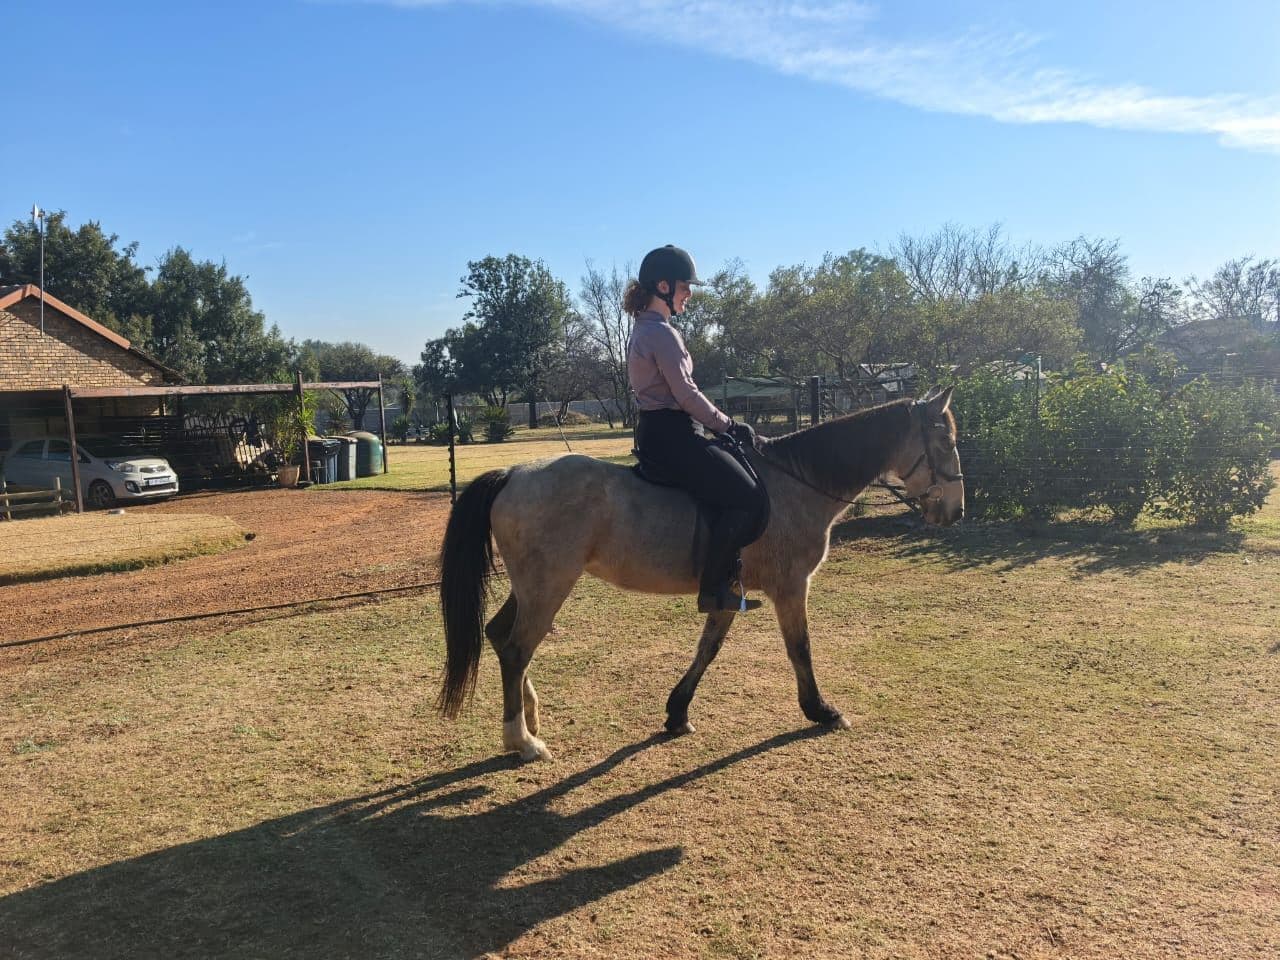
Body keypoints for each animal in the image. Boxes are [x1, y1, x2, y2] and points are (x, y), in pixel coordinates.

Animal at [437, 387, 964, 761]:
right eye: (946, 441)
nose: (956, 512)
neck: (793, 485)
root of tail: (514, 474)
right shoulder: (791, 587)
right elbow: (800, 648)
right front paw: (821, 710)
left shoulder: (728, 591)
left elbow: (707, 649)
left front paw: (677, 713)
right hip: (549, 587)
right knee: (516, 649)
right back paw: (522, 741)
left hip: (531, 587)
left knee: (501, 636)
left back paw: (530, 718)